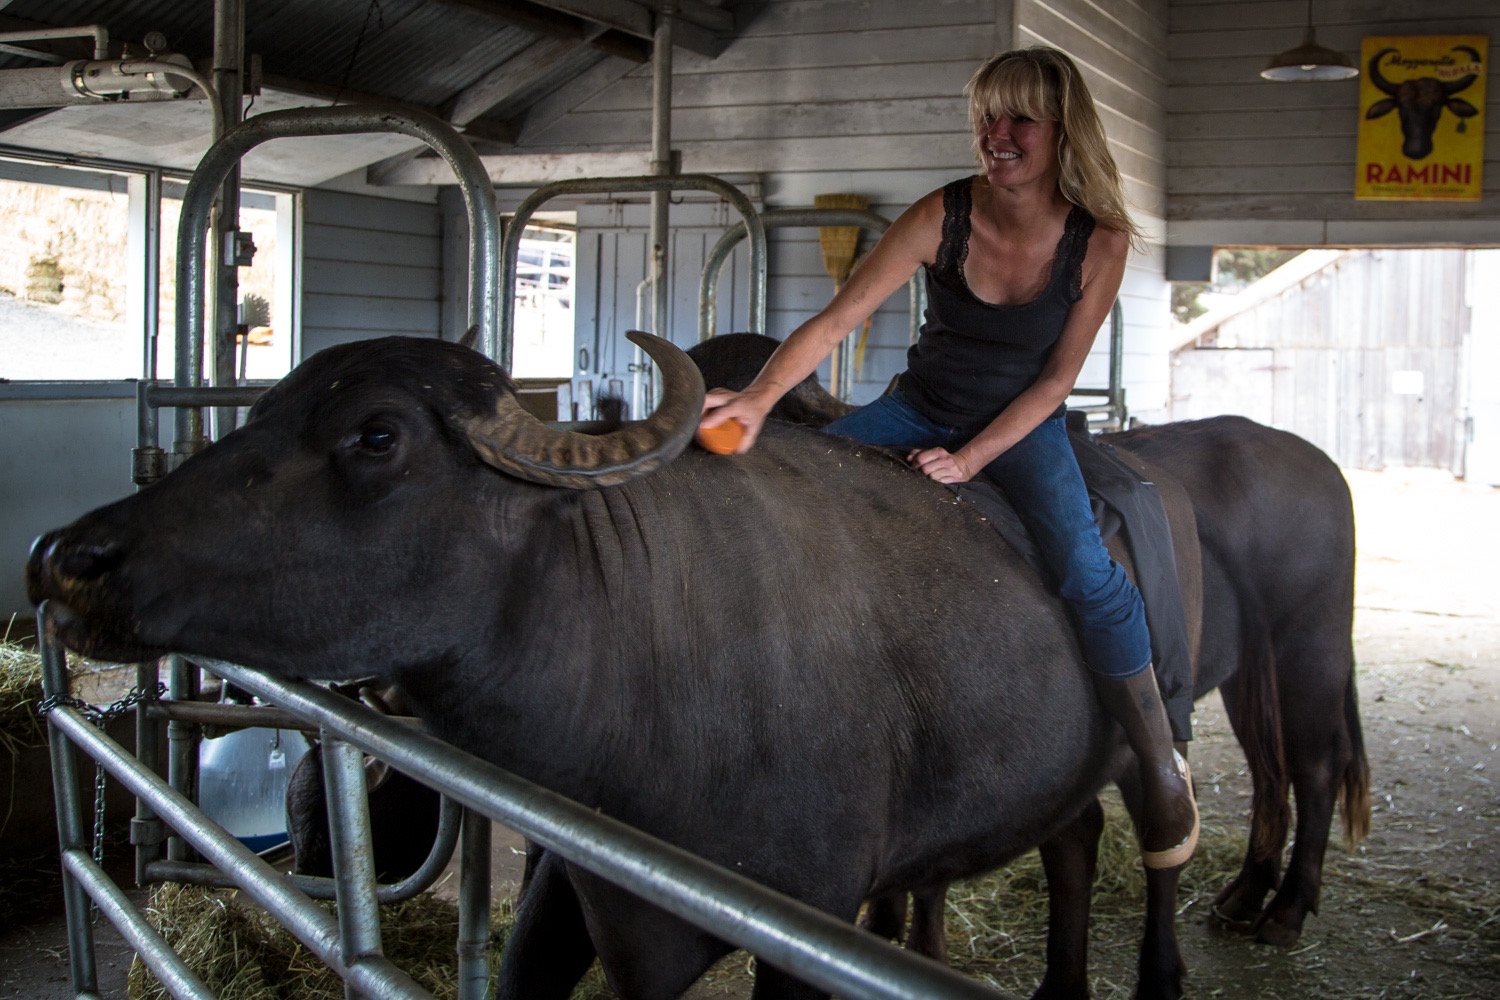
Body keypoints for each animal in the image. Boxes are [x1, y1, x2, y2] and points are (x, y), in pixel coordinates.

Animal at [29, 332, 1368, 995]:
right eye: (263, 409)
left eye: (375, 435)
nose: (68, 556)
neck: (641, 662)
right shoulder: (586, 897)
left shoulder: (811, 926)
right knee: (1082, 838)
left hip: (1262, 668)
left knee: (1221, 800)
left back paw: (1243, 923)